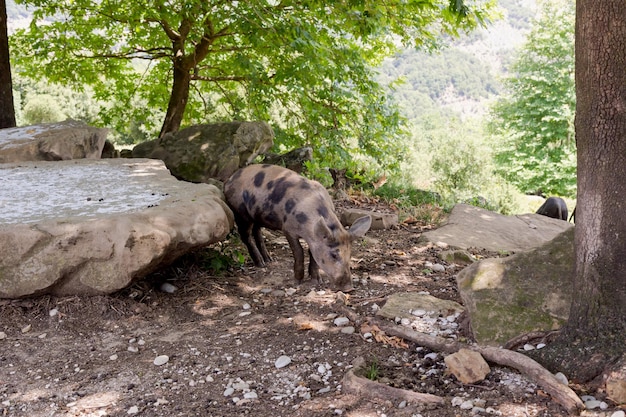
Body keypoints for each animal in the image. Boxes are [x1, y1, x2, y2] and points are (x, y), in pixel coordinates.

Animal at [224, 164, 370, 290]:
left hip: (258, 215)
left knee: (257, 231)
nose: (349, 288)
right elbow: (299, 252)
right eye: (334, 255)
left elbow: (312, 254)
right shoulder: (288, 228)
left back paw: (269, 260)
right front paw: (298, 281)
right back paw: (260, 264)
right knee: (246, 236)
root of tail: (230, 179)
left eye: (350, 253)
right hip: (240, 212)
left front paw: (316, 281)